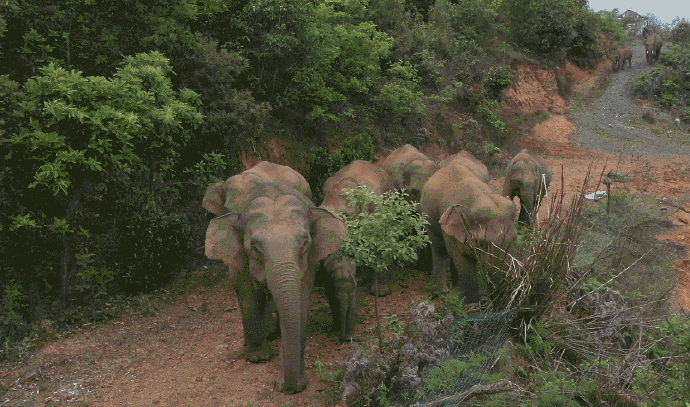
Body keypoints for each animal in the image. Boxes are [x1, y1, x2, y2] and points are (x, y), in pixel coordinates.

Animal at [203, 170, 344, 396]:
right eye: (255, 248)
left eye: (305, 243)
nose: (286, 387)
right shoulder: (239, 256)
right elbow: (245, 291)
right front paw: (258, 358)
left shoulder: (308, 261)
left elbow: (301, 298)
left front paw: (297, 384)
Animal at [416, 164, 512, 302]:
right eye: (481, 242)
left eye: (515, 237)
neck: (481, 196)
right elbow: (460, 257)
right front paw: (473, 301)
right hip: (428, 214)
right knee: (439, 248)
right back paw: (440, 292)